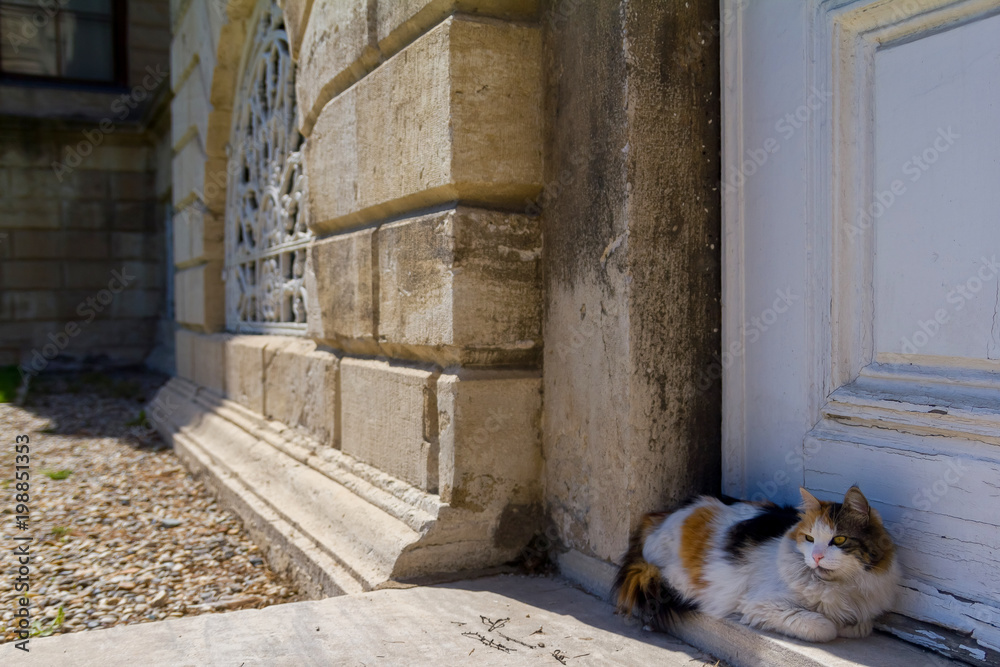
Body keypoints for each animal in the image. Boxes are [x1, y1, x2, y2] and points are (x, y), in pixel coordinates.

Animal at [612, 486, 904, 640]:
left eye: (839, 539)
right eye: (809, 539)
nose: (816, 557)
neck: (839, 587)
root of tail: (656, 517)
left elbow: (861, 625)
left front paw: (848, 623)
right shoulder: (761, 605)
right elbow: (825, 626)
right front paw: (835, 624)